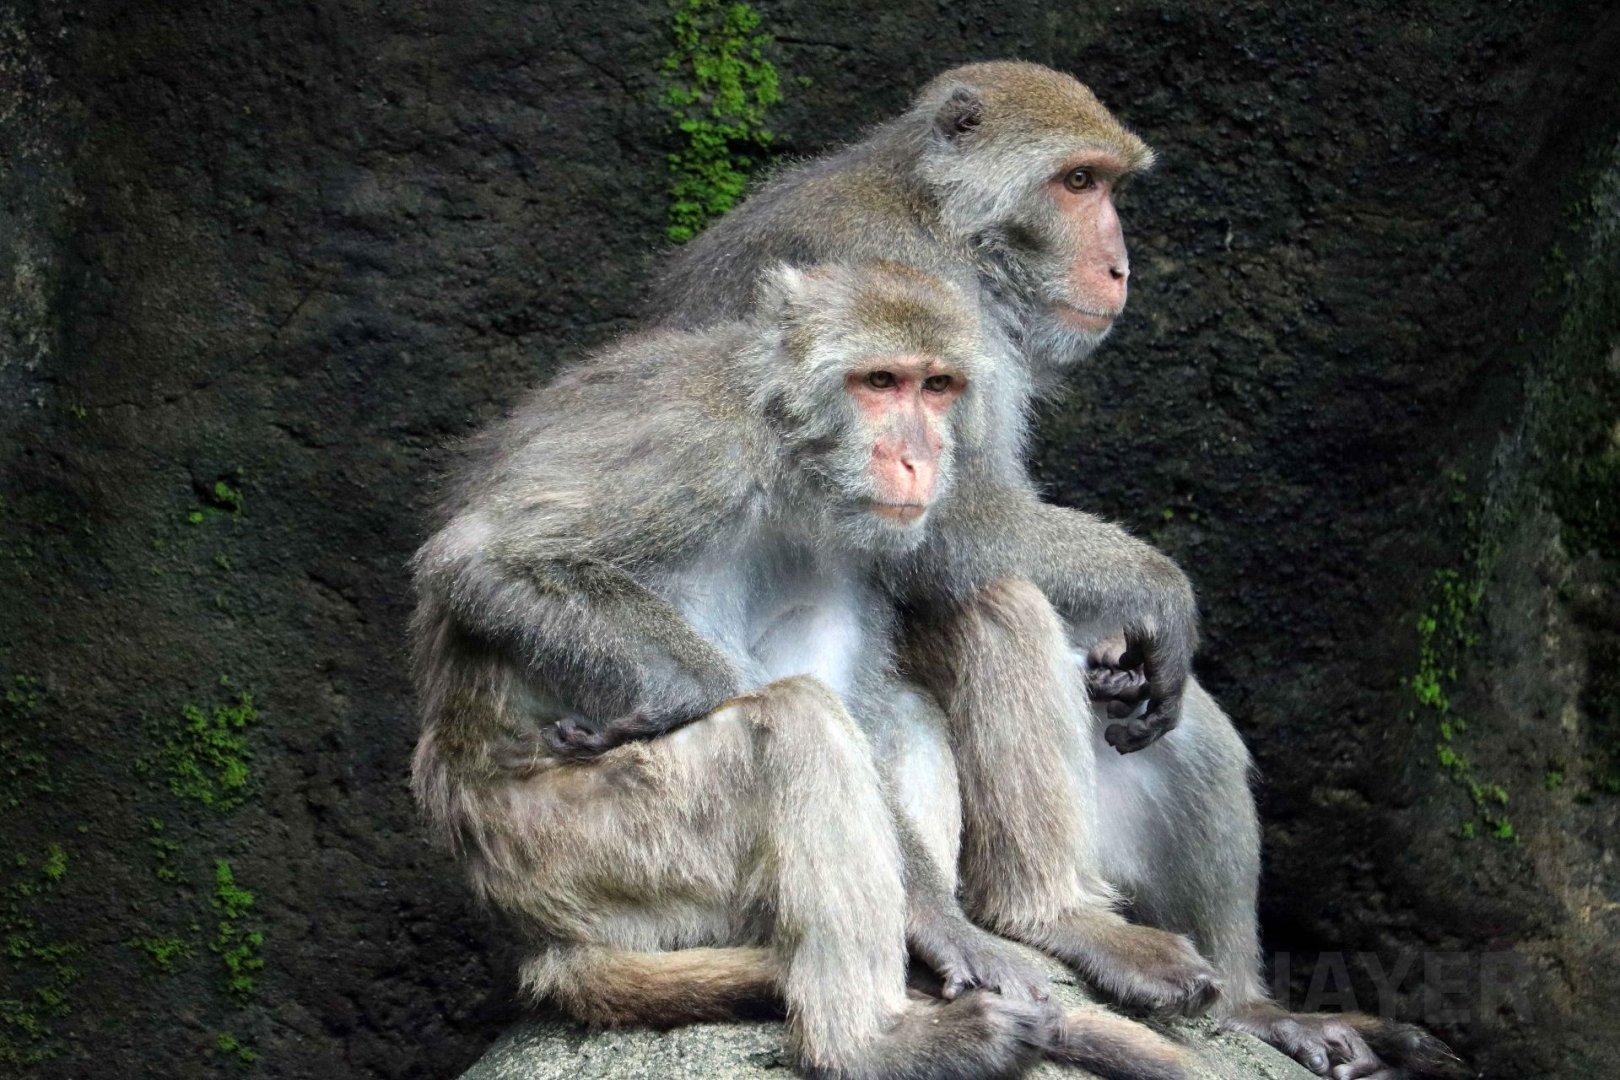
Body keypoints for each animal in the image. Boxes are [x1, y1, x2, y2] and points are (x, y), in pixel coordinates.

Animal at [410, 261, 1195, 1080]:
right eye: (879, 381)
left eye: (937, 386)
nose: (919, 459)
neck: (790, 455)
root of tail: (533, 932)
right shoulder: (696, 449)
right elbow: (484, 557)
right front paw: (687, 695)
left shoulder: (857, 538)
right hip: (582, 850)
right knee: (795, 720)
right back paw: (871, 1045)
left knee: (948, 646)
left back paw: (1048, 920)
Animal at [644, 61, 1466, 1080]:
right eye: (1077, 184)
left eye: (1111, 186)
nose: (1119, 265)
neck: (944, 222)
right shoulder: (897, 287)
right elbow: (949, 527)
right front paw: (1160, 588)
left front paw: (1128, 648)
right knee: (991, 596)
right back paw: (1053, 914)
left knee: (1185, 724)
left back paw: (1254, 1009)